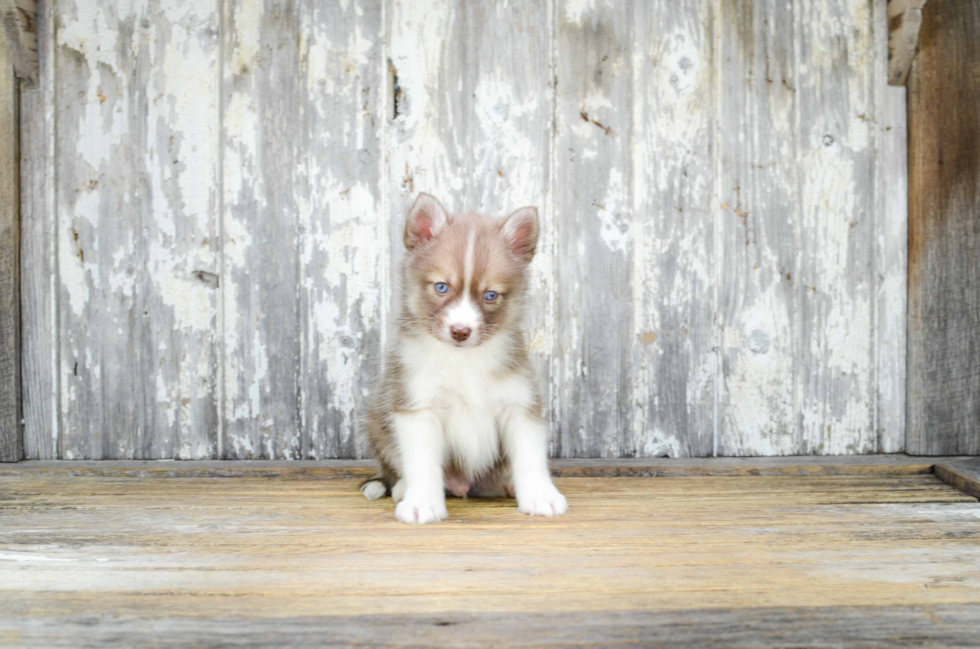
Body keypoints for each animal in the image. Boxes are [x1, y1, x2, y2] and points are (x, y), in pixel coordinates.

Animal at [364, 192, 572, 520]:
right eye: (441, 286)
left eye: (490, 295)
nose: (460, 331)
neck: (464, 361)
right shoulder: (417, 406)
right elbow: (422, 463)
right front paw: (422, 502)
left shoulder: (519, 404)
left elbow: (530, 457)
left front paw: (540, 495)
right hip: (377, 419)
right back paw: (402, 489)